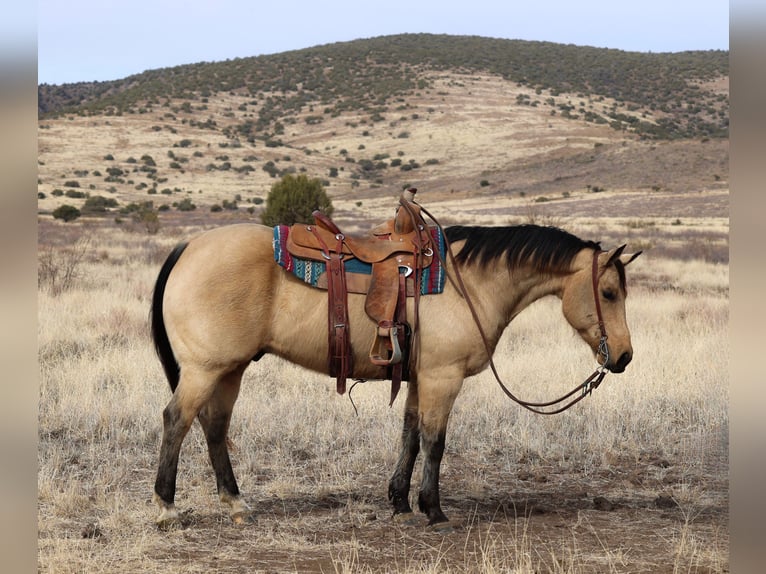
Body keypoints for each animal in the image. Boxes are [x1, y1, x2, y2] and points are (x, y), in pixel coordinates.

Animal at [150, 202, 640, 532]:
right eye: (610, 293)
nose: (622, 356)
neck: (468, 282)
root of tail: (189, 246)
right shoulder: (443, 378)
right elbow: (435, 442)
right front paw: (434, 510)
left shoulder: (420, 379)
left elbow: (410, 435)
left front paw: (400, 502)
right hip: (205, 369)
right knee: (177, 420)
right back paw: (167, 508)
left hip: (229, 369)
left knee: (214, 427)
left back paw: (235, 504)